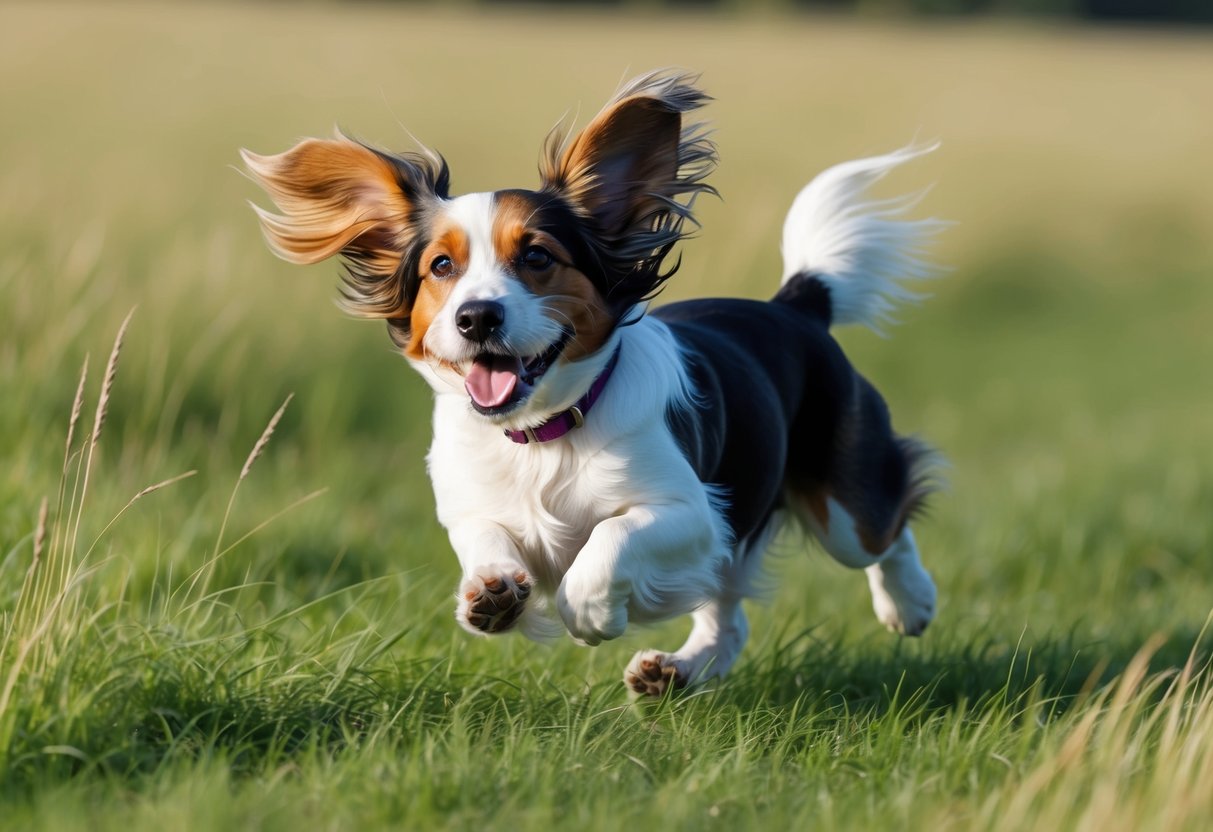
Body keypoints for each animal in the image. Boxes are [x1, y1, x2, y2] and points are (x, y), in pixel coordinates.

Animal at [241, 70, 946, 698]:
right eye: (441, 266)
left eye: (536, 256)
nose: (477, 317)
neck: (542, 434)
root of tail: (798, 303)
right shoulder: (468, 503)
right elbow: (483, 537)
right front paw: (490, 594)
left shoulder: (693, 512)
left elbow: (609, 540)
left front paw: (590, 613)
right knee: (730, 622)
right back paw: (675, 671)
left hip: (840, 511)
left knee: (885, 525)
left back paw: (909, 603)